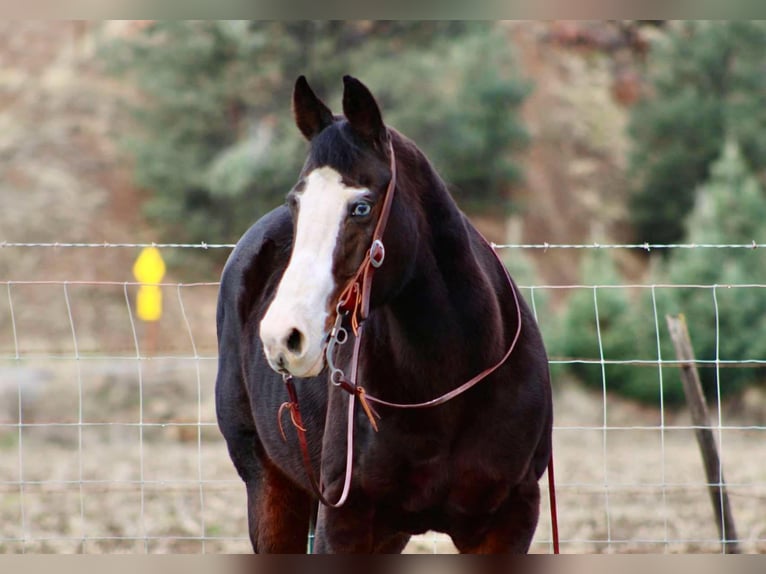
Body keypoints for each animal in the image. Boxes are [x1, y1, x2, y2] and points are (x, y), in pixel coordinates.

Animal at [213, 74, 556, 556]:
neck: (448, 382)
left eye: (361, 206)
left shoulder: (510, 519)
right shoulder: (344, 518)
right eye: (296, 203)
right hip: (269, 489)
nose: (283, 337)